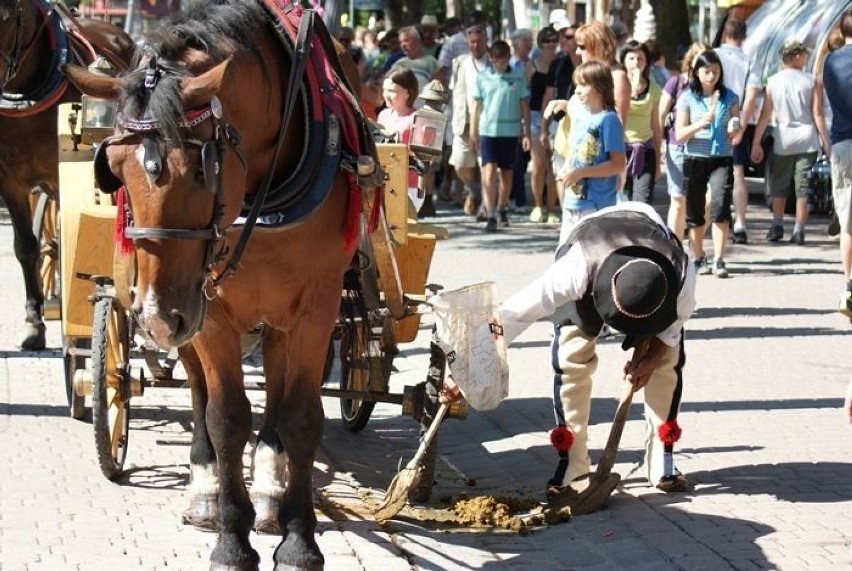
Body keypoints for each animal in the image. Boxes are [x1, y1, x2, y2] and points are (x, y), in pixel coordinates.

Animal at [64, 0, 372, 568]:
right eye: (112, 168)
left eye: (200, 169)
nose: (157, 319)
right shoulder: (209, 308)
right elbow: (223, 415)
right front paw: (232, 538)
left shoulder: (315, 305)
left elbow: (301, 416)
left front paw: (299, 539)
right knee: (198, 389)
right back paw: (206, 490)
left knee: (275, 382)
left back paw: (270, 490)